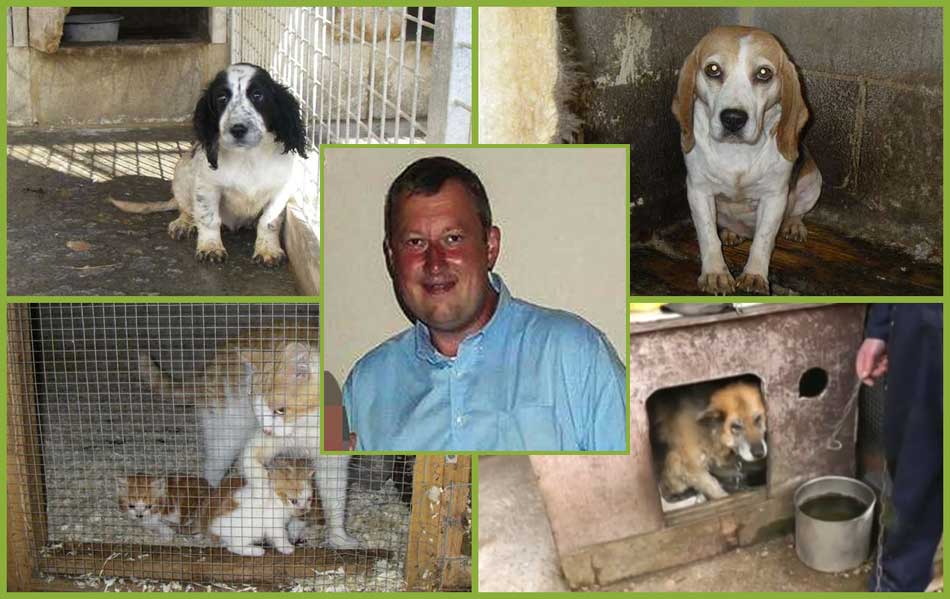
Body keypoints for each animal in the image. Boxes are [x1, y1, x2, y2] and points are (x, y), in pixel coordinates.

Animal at [114, 62, 308, 264]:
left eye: (257, 95)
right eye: (222, 98)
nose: (238, 129)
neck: (248, 157)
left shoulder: (281, 189)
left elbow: (269, 221)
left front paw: (268, 250)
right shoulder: (207, 186)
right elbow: (208, 218)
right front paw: (210, 247)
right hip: (181, 172)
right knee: (187, 208)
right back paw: (183, 224)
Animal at [141, 326, 360, 552]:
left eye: (280, 410)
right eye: (257, 409)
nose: (268, 430)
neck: (309, 426)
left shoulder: (333, 463)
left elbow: (335, 501)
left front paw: (338, 538)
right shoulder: (258, 444)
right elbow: (254, 468)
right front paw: (265, 496)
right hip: (225, 438)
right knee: (212, 472)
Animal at [672, 28, 820, 296]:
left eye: (763, 73)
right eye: (712, 69)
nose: (733, 118)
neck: (737, 151)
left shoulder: (774, 197)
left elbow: (763, 239)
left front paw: (754, 275)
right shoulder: (698, 191)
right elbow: (708, 235)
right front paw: (715, 274)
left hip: (814, 182)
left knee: (797, 212)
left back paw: (793, 225)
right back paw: (732, 233)